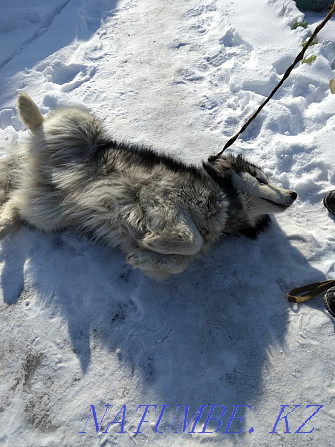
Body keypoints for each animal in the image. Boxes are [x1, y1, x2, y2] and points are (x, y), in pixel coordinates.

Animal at [0, 93, 300, 278]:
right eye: (261, 179)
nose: (293, 193)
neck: (225, 199)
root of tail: (39, 166)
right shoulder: (163, 197)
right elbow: (191, 240)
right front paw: (153, 241)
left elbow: (182, 262)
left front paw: (143, 256)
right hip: (81, 126)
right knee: (44, 125)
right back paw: (26, 105)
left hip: (47, 213)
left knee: (16, 204)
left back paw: (3, 222)